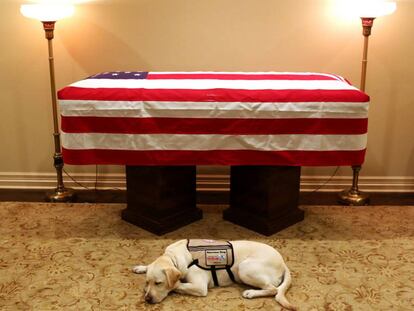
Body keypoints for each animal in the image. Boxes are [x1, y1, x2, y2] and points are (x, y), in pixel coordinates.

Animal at [133, 240, 294, 310]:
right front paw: (141, 268)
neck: (174, 257)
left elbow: (177, 285)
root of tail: (283, 262)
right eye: (147, 281)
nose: (147, 299)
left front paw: (175, 284)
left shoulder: (199, 287)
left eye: (159, 283)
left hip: (244, 268)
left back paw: (250, 293)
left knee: (273, 289)